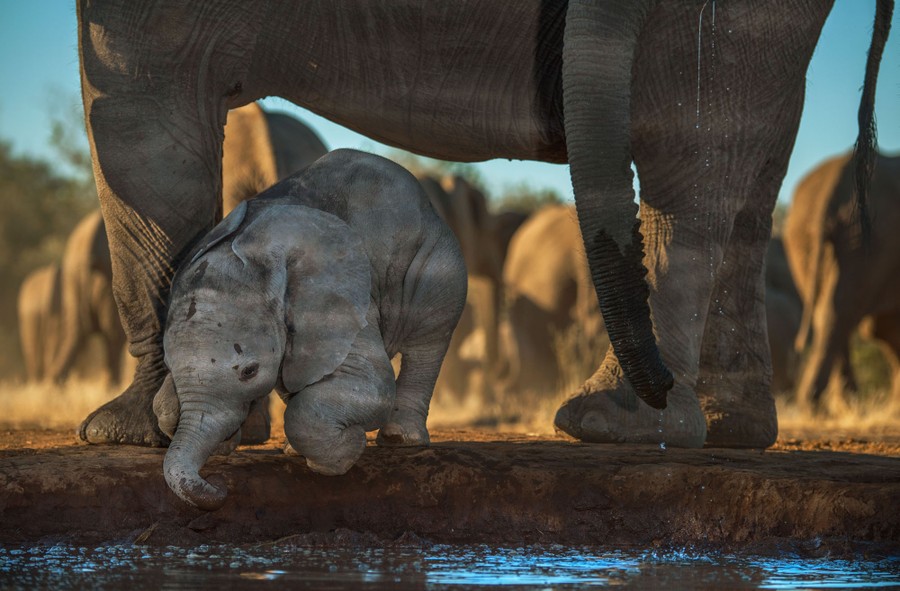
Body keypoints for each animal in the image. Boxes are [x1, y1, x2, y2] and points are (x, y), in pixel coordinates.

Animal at [154, 150, 466, 510]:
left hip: (437, 262)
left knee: (428, 342)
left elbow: (373, 388)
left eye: (249, 372)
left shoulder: (342, 302)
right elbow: (162, 407)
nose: (218, 485)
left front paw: (347, 449)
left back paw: (401, 439)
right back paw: (293, 450)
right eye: (168, 364)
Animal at [783, 152, 900, 408]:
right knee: (841, 311)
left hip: (804, 240)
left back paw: (840, 405)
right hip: (868, 235)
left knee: (828, 313)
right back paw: (829, 404)